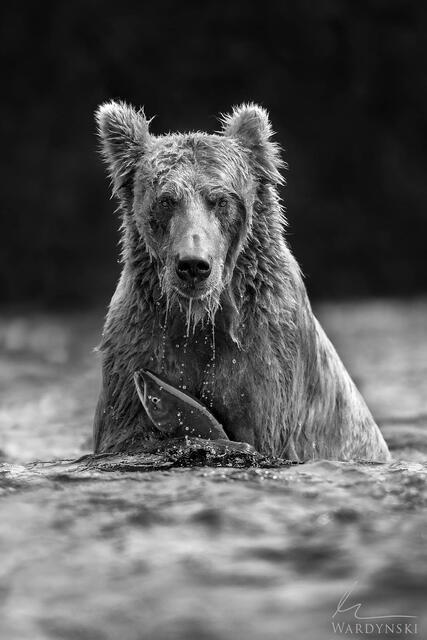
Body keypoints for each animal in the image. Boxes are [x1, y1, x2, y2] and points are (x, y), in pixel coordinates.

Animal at [93, 100, 391, 462]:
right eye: (166, 199)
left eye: (221, 199)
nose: (193, 265)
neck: (201, 319)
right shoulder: (136, 341)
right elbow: (124, 436)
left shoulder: (267, 353)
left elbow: (256, 432)